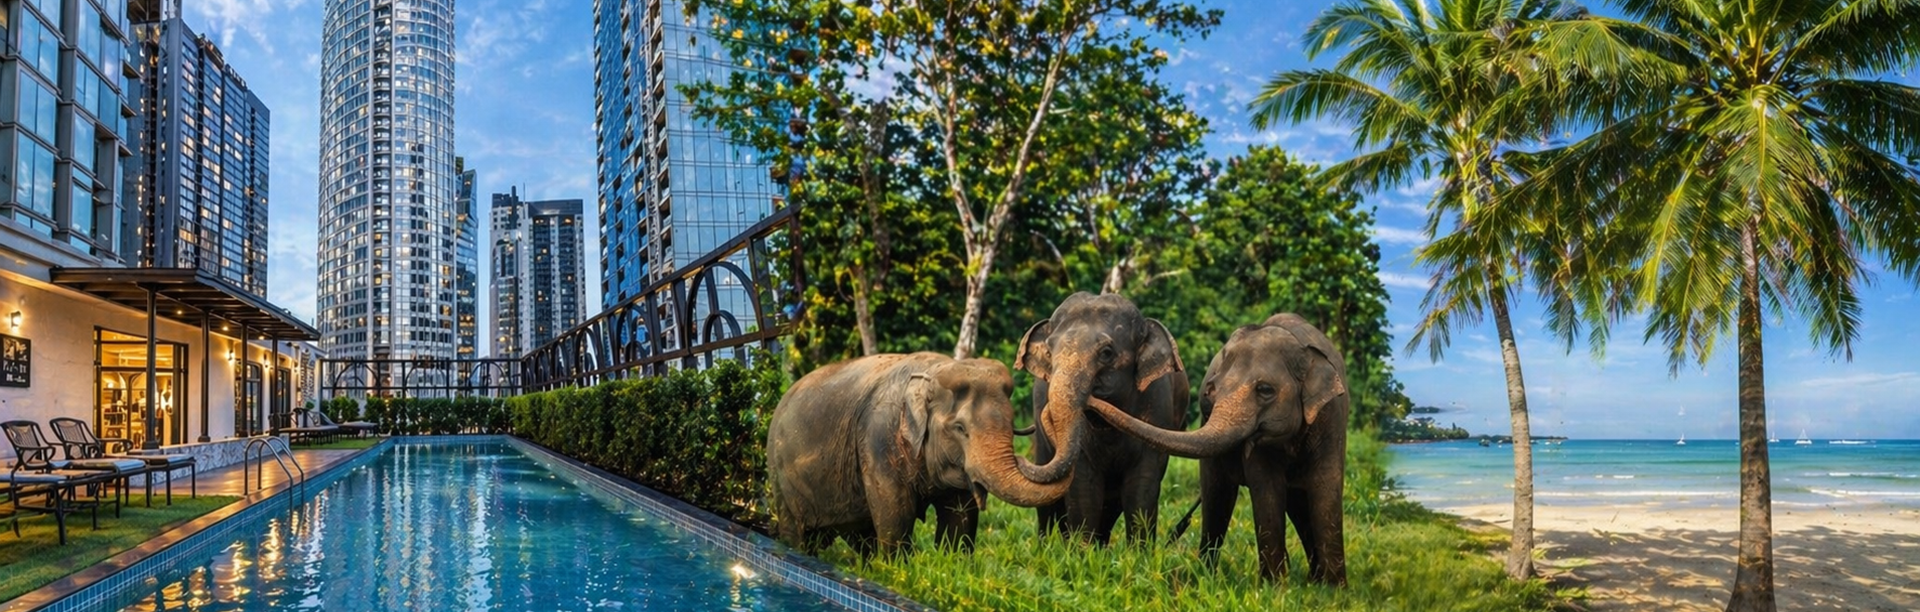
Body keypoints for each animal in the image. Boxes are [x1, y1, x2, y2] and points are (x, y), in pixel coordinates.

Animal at [766, 352, 1074, 556]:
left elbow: (960, 517)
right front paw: (896, 569)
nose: (1023, 458)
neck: (934, 371)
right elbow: (896, 514)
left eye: (1011, 424)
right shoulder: (878, 439)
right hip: (779, 477)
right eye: (960, 428)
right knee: (797, 533)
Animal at [1017, 291, 1188, 545]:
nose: (1018, 459)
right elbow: (1083, 488)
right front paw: (1080, 551)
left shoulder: (1157, 407)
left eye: (1106, 353)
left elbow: (1141, 488)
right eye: (1049, 350)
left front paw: (1139, 552)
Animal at [1087, 313, 1349, 584]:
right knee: (1219, 496)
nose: (1090, 398)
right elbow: (1267, 489)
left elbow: (1325, 485)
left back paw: (1313, 580)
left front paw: (1333, 588)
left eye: (1265, 390)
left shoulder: (1332, 415)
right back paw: (1208, 575)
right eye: (1211, 392)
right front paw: (1276, 587)